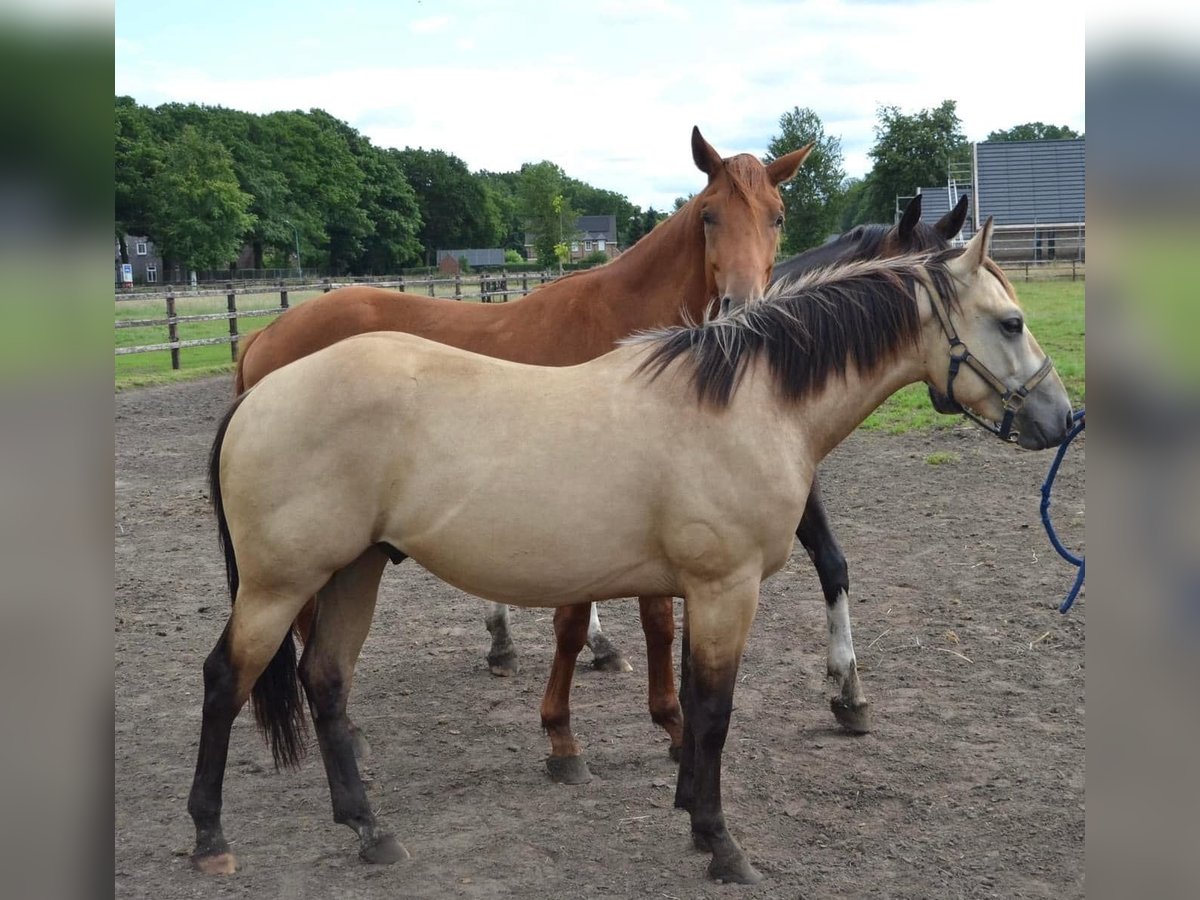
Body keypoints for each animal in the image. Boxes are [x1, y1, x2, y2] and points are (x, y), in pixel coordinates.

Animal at [230, 127, 811, 777]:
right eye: (710, 215)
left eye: (777, 216)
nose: (742, 306)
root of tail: (266, 333)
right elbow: (578, 623)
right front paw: (568, 735)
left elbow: (658, 621)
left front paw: (667, 721)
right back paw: (347, 730)